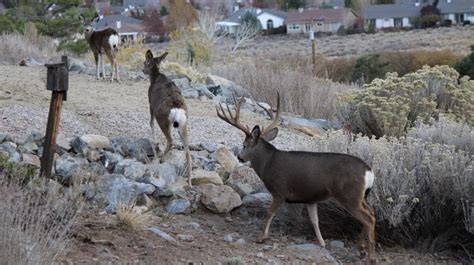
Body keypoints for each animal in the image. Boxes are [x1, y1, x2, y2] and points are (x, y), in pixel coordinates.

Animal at [142, 50, 192, 186]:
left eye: (145, 62)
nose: (142, 70)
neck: (155, 78)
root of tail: (177, 110)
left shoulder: (151, 103)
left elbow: (150, 122)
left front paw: (155, 143)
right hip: (183, 124)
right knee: (188, 152)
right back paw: (190, 182)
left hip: (163, 119)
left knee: (171, 141)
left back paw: (161, 159)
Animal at [217, 94, 376, 262]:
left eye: (244, 145)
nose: (239, 157)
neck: (267, 164)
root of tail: (369, 171)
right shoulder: (310, 199)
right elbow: (314, 221)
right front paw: (322, 243)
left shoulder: (279, 191)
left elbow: (269, 212)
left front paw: (261, 237)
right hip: (362, 196)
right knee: (372, 213)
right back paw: (361, 250)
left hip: (348, 195)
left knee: (368, 219)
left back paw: (370, 258)